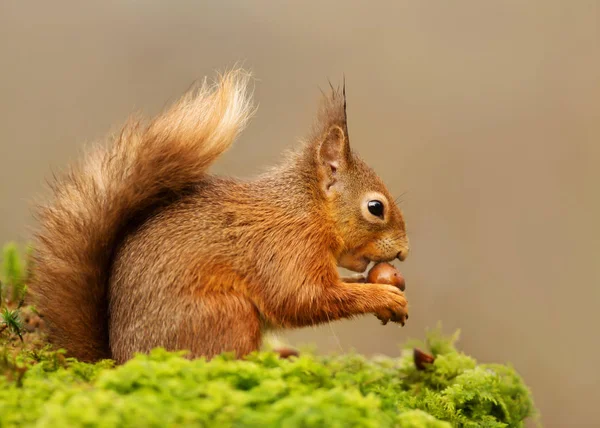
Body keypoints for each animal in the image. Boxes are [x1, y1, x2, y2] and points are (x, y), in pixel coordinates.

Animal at [30, 69, 410, 362]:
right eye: (375, 208)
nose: (404, 251)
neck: (307, 209)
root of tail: (121, 359)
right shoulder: (286, 248)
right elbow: (303, 299)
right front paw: (384, 297)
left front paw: (387, 286)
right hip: (226, 314)